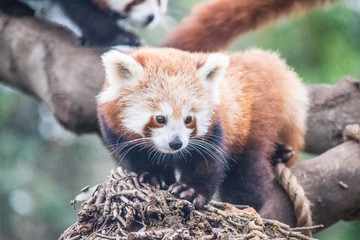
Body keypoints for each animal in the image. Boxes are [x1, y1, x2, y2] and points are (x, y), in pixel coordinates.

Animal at [95, 47, 306, 210]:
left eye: (188, 119)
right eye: (160, 118)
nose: (176, 143)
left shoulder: (215, 129)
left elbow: (206, 164)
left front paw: (191, 191)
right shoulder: (116, 132)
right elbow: (138, 158)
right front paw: (153, 176)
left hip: (253, 125)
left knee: (248, 171)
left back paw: (244, 202)